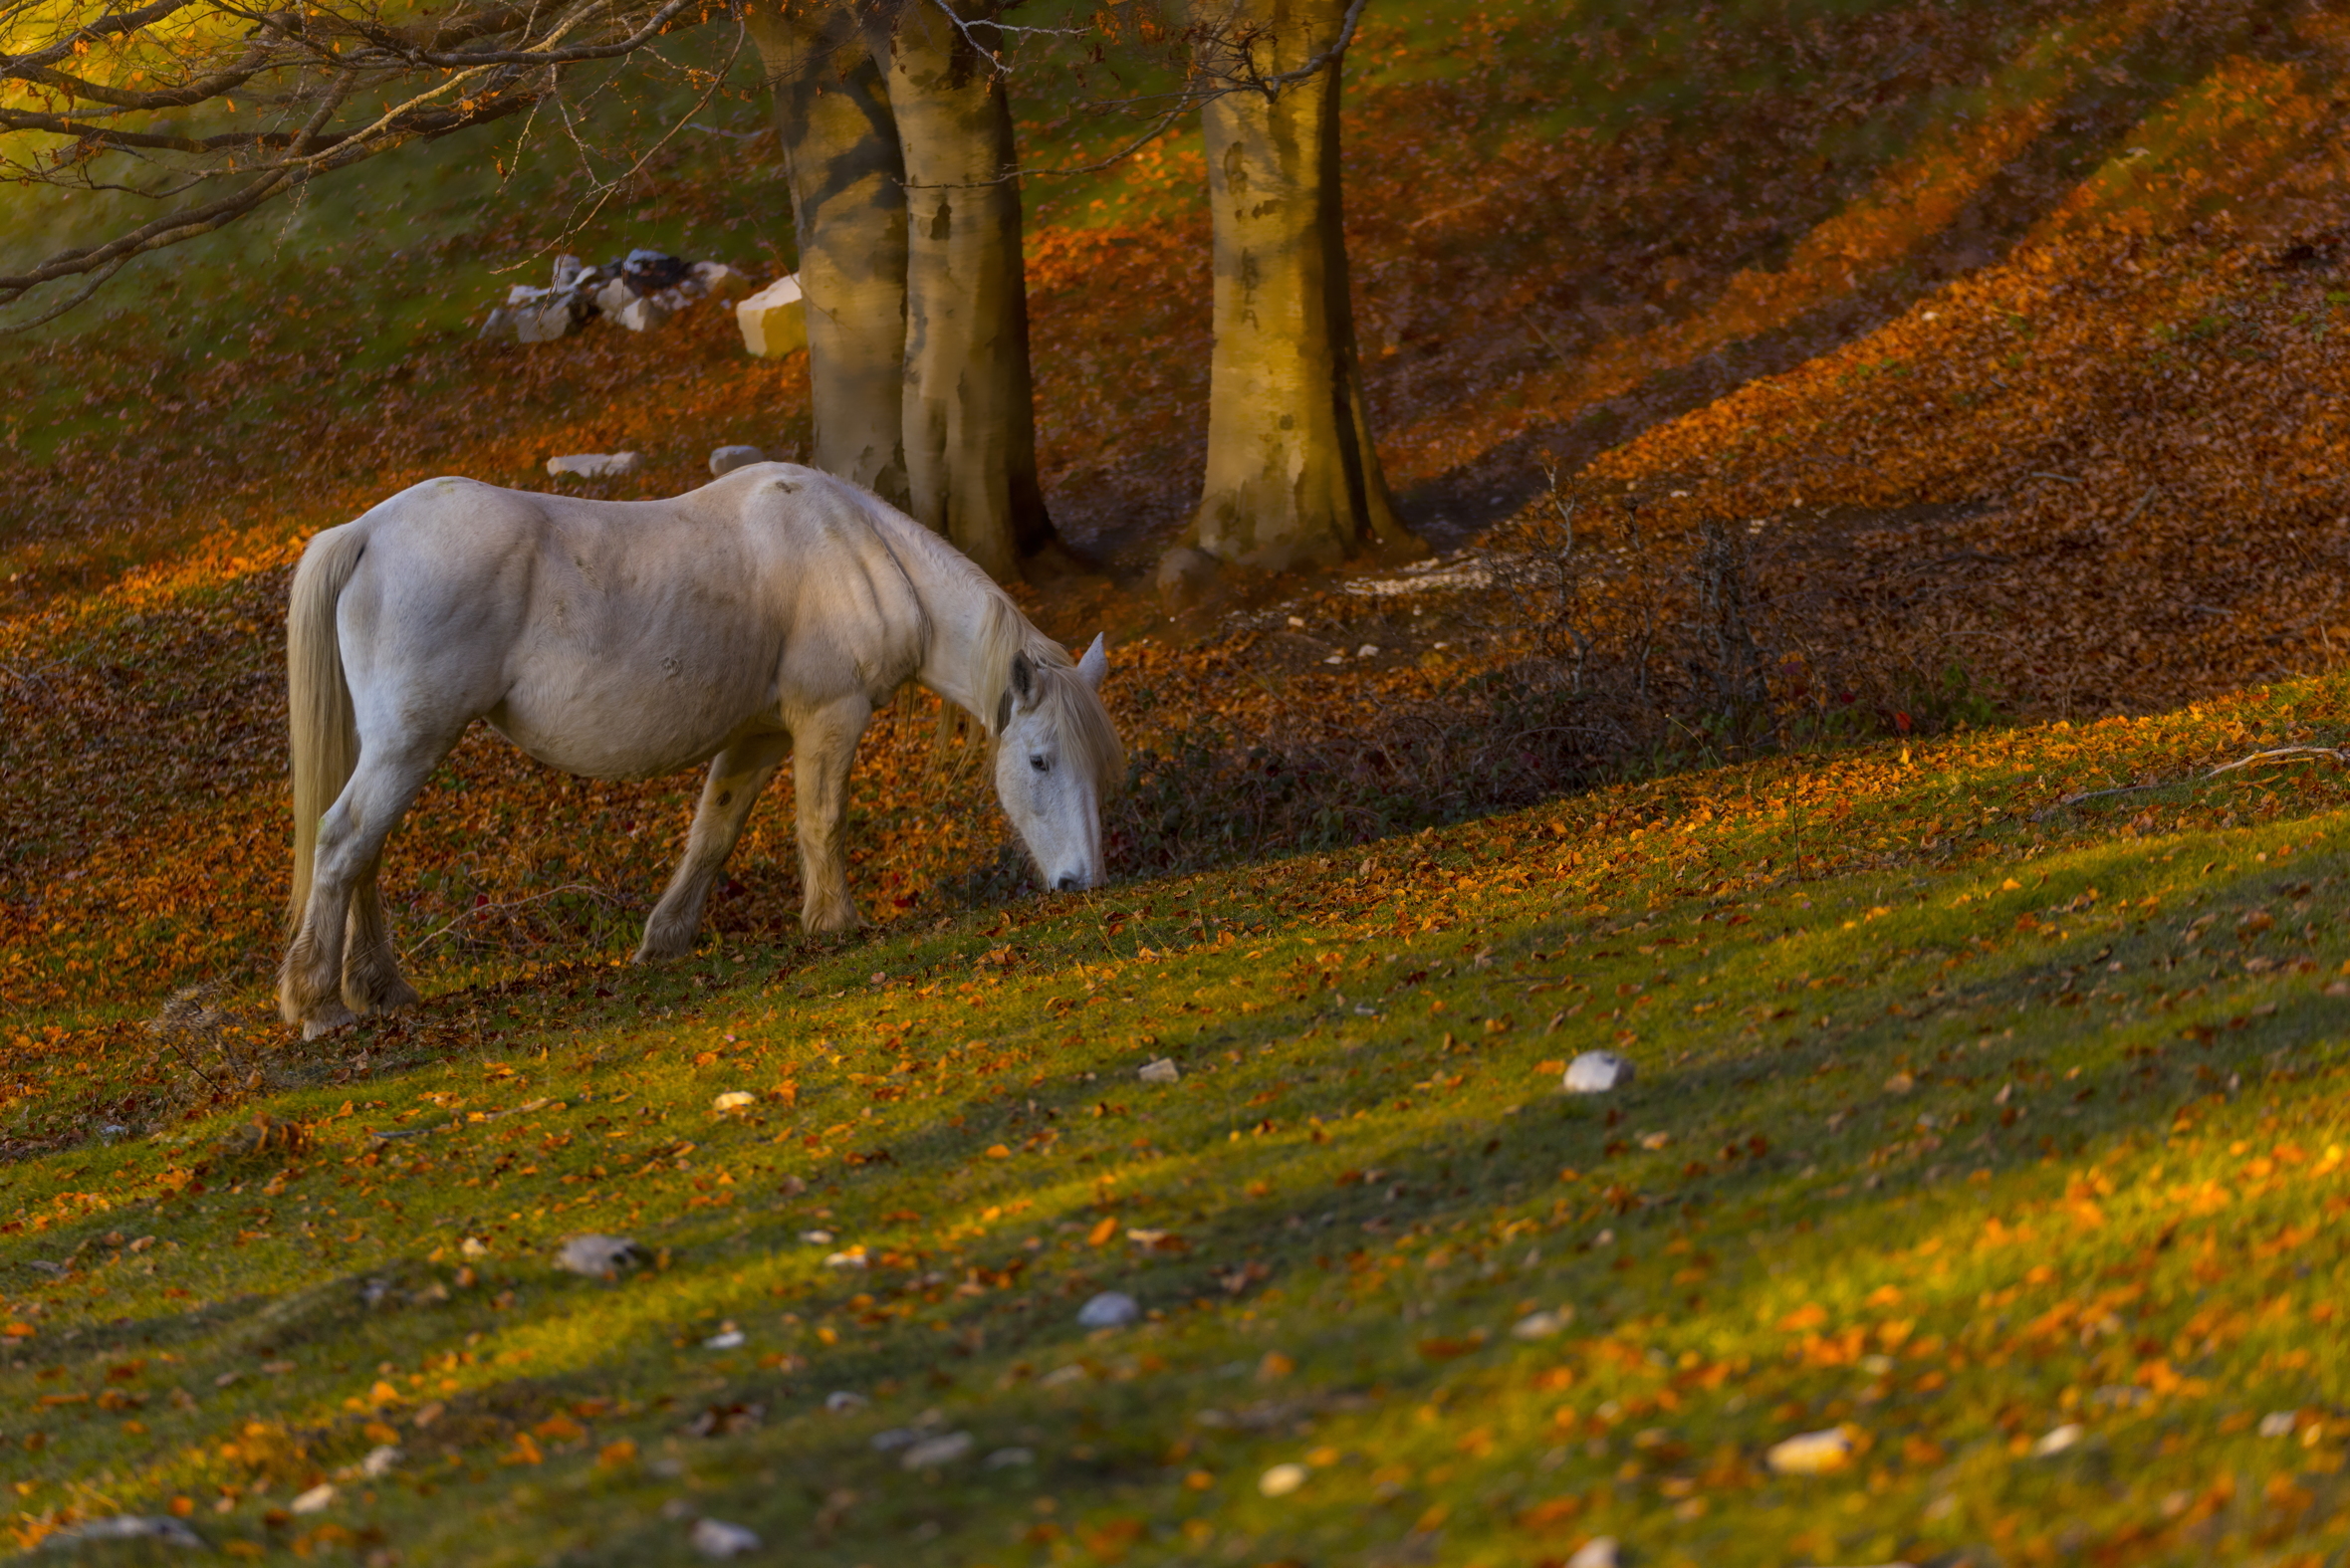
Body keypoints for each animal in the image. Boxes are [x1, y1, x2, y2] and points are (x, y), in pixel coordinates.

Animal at [278, 463, 1123, 1039]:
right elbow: (822, 822)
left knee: (365, 853)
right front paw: (833, 922)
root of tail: (365, 532)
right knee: (344, 842)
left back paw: (378, 988)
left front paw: (665, 940)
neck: (857, 556)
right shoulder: (828, 720)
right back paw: (316, 1002)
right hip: (411, 742)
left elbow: (712, 835)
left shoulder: (759, 734)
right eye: (1040, 761)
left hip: (396, 747)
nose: (1083, 882)